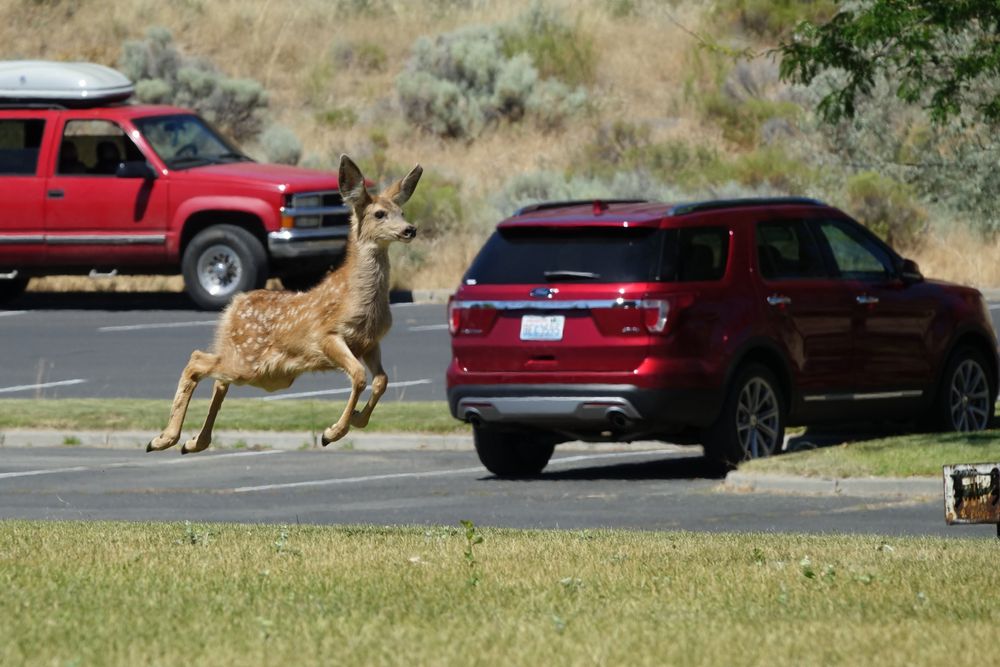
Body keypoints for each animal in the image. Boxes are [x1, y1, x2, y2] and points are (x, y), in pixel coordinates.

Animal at [146, 154, 420, 454]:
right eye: (379, 214)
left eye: (402, 212)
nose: (410, 229)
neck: (359, 298)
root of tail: (234, 305)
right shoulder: (326, 336)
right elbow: (359, 376)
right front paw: (332, 432)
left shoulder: (370, 342)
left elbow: (382, 380)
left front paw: (358, 420)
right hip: (249, 361)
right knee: (197, 361)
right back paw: (163, 439)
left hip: (261, 370)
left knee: (218, 380)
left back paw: (194, 442)